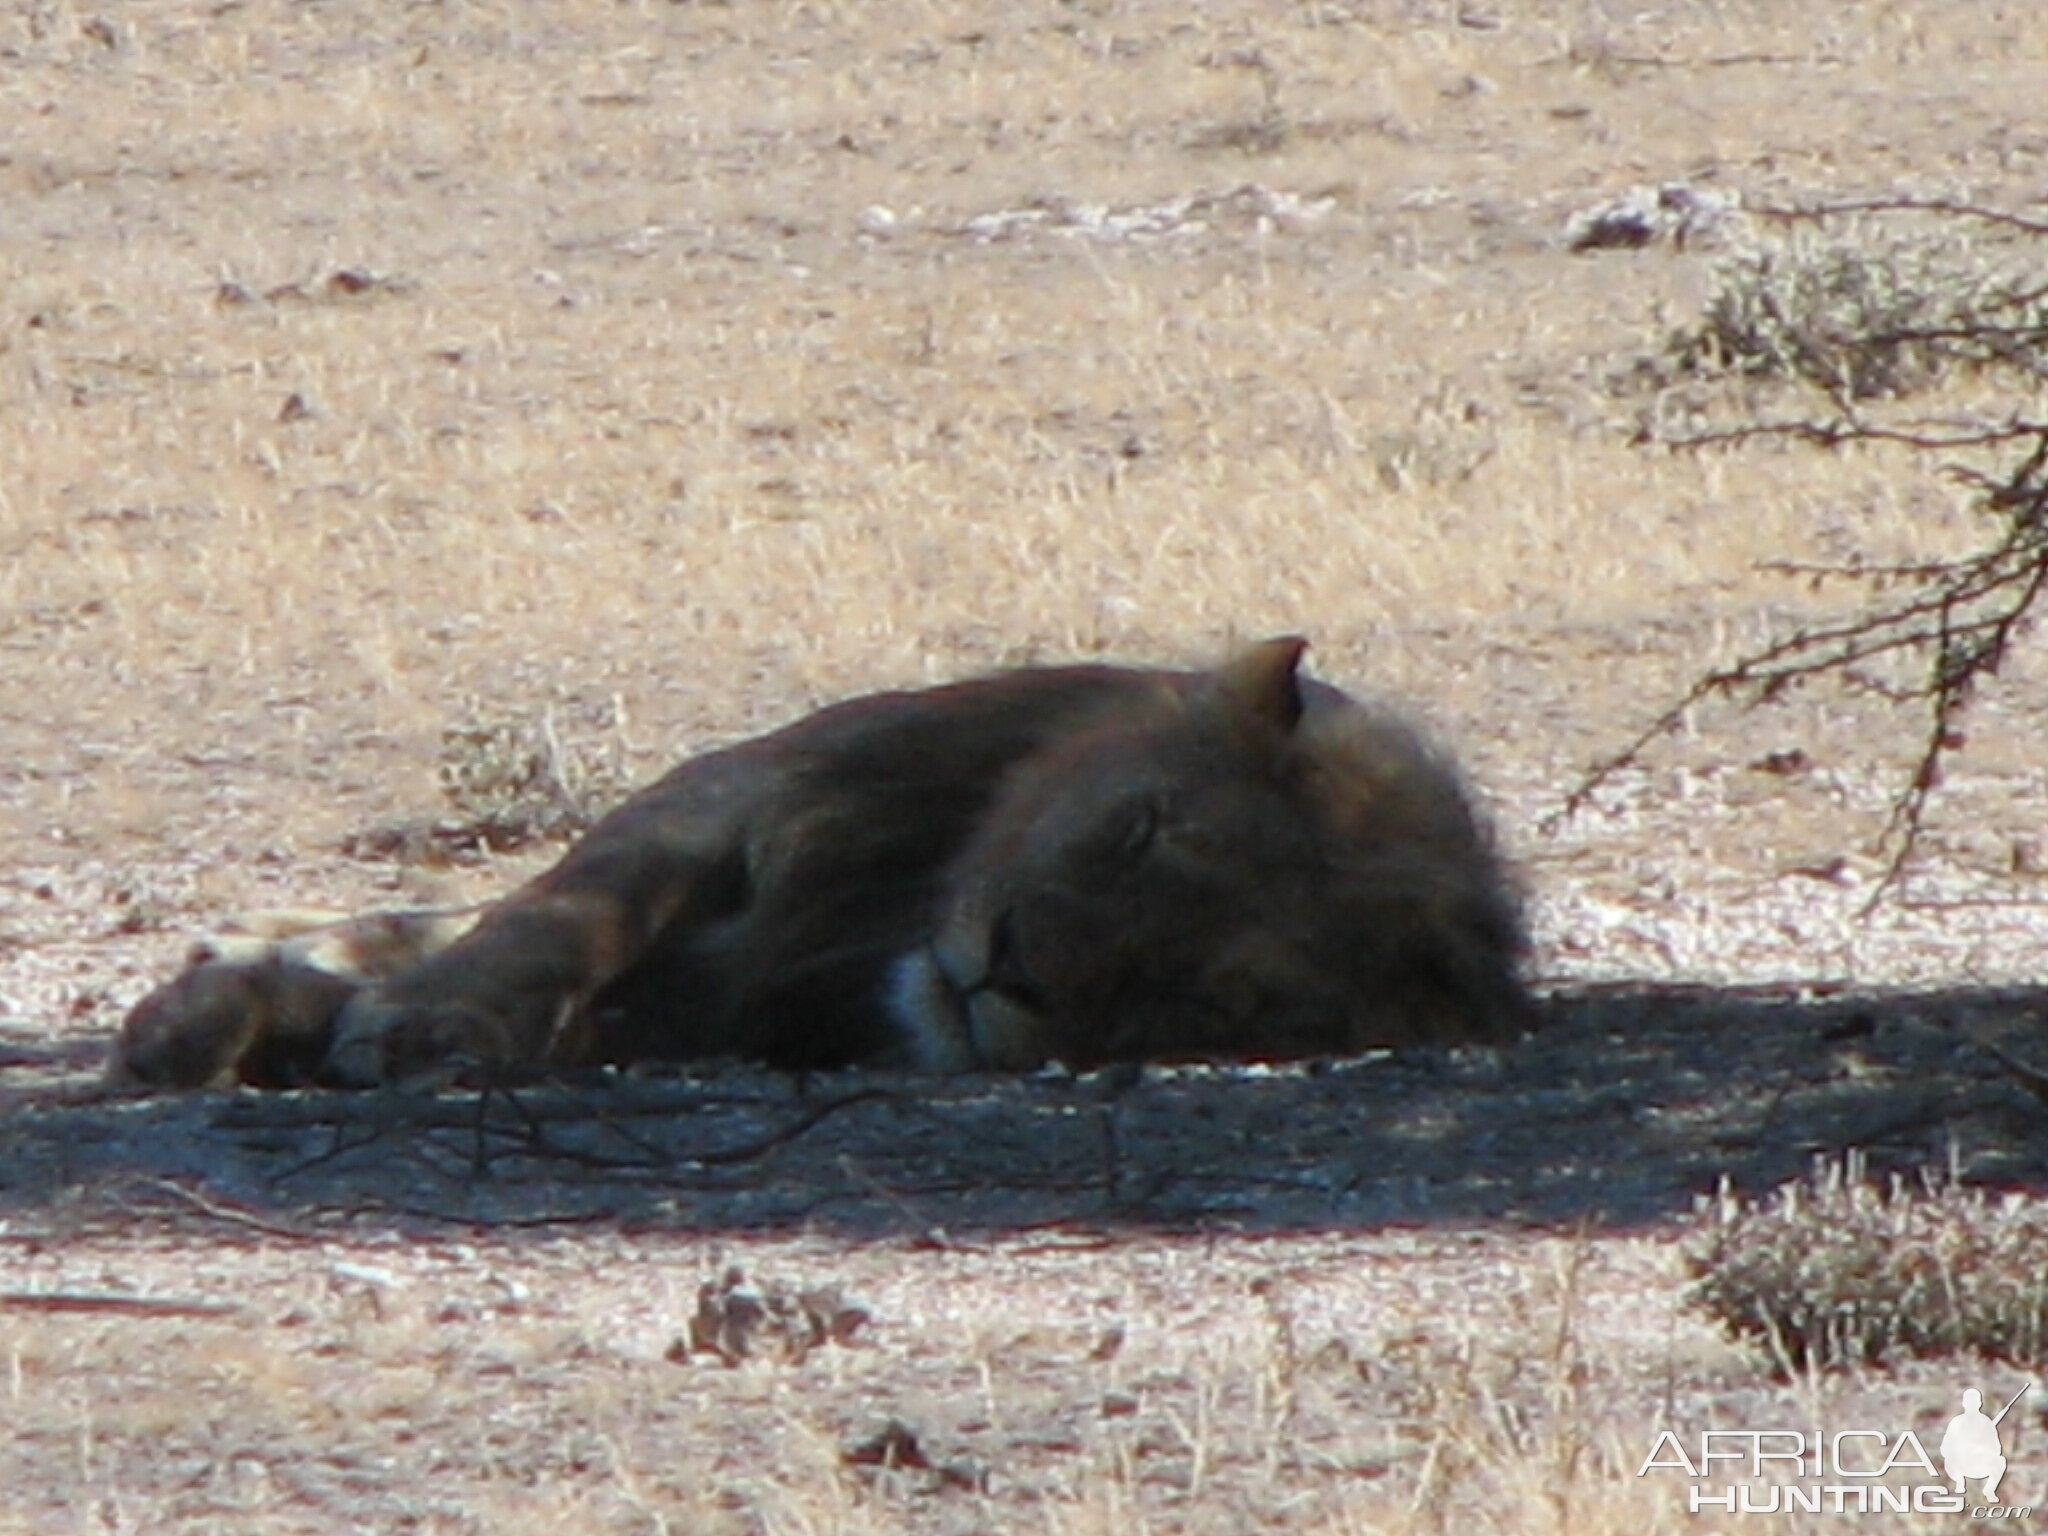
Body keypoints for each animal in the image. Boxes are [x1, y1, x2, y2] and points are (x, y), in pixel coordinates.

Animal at [108, 638, 1523, 1097]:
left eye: (1206, 997)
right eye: (1136, 828)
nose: (1004, 972)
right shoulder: (736, 798)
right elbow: (561, 917)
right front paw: (424, 1027)